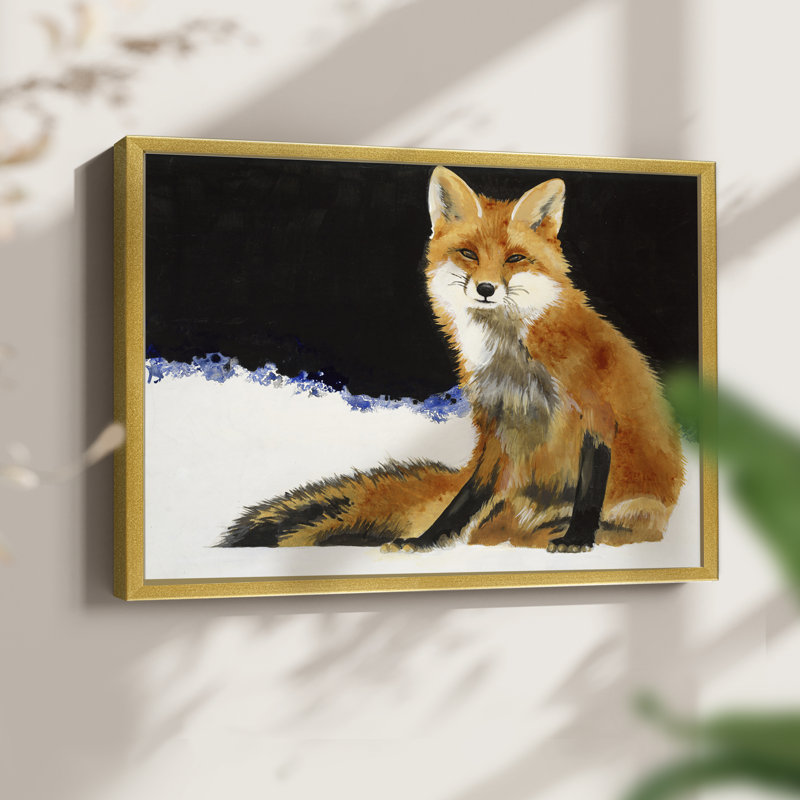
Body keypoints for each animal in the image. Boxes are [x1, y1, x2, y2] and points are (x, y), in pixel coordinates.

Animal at [219, 166, 685, 553]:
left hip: (636, 508)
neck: (514, 362)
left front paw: (578, 538)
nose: (485, 289)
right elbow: (465, 498)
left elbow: (589, 488)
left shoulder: (596, 413)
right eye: (469, 253)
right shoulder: (496, 427)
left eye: (515, 258)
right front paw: (428, 540)